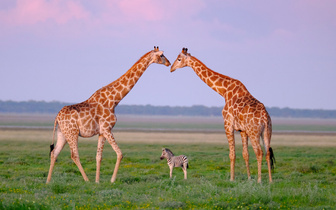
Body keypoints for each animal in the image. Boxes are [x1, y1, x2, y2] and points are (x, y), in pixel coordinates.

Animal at [46, 45, 171, 182]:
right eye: (162, 55)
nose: (169, 63)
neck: (114, 100)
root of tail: (57, 117)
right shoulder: (107, 129)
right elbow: (120, 154)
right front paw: (111, 180)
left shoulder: (101, 132)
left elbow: (98, 157)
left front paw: (97, 181)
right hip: (72, 132)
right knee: (74, 155)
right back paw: (86, 180)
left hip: (62, 133)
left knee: (54, 153)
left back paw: (48, 182)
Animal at [171, 47, 276, 182]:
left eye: (179, 59)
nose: (171, 68)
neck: (224, 91)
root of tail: (265, 118)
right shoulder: (242, 130)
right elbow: (245, 154)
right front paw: (248, 178)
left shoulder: (228, 124)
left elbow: (232, 154)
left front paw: (232, 178)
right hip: (267, 132)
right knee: (268, 152)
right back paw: (270, 180)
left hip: (254, 132)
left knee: (259, 152)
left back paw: (259, 180)